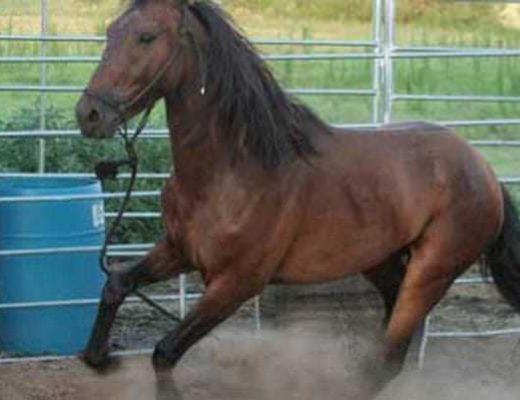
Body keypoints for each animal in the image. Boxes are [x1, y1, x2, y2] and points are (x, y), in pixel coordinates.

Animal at [75, 0, 520, 396]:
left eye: (146, 36)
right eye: (111, 32)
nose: (89, 114)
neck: (230, 171)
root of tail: (485, 171)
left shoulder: (236, 282)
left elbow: (165, 351)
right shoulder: (177, 251)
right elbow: (116, 283)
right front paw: (101, 359)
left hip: (432, 271)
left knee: (390, 356)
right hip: (379, 260)